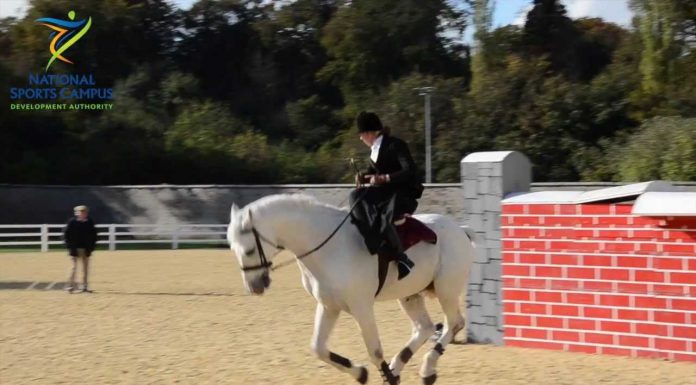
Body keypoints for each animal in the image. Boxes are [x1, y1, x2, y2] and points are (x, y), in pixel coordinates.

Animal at [226, 195, 476, 384]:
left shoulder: (361, 307)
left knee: (454, 323)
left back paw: (427, 369)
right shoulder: (329, 306)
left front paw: (384, 376)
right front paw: (360, 373)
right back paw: (399, 366)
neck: (328, 247)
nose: (255, 286)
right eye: (232, 248)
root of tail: (460, 230)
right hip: (410, 295)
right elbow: (318, 348)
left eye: (249, 250)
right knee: (424, 328)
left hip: (446, 290)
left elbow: (375, 352)